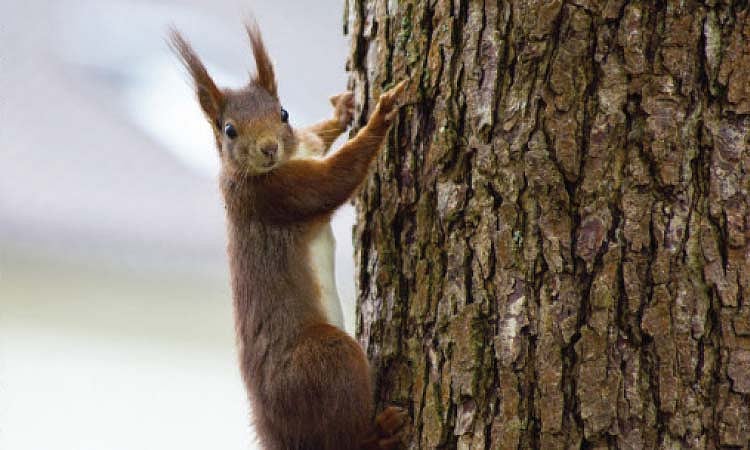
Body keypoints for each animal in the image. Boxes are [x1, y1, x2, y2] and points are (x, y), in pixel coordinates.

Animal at [170, 23, 407, 450]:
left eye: (283, 113)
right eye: (229, 130)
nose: (268, 148)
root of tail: (274, 432)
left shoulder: (304, 149)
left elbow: (317, 137)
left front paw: (344, 110)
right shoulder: (280, 195)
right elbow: (337, 179)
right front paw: (383, 112)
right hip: (325, 358)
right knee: (342, 439)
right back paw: (379, 434)